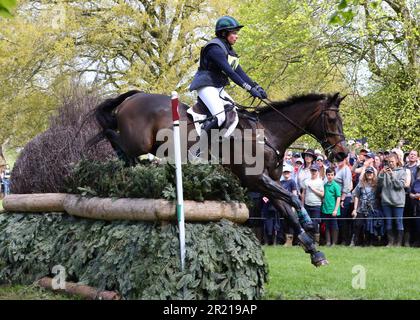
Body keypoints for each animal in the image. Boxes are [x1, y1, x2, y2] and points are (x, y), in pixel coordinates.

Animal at [87, 89, 350, 266]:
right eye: (332, 120)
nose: (342, 154)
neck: (268, 135)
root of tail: (134, 97)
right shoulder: (256, 180)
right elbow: (294, 200)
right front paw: (309, 224)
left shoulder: (269, 183)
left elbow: (287, 209)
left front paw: (314, 250)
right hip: (137, 143)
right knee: (117, 142)